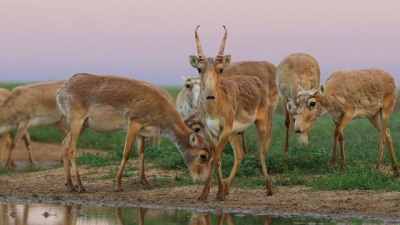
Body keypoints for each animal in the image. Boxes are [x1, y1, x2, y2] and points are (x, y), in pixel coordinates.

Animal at [57, 73, 212, 192]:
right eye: (203, 156)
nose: (203, 180)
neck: (161, 109)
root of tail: (62, 89)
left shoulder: (142, 132)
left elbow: (141, 153)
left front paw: (145, 182)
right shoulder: (134, 123)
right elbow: (127, 152)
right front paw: (118, 185)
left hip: (83, 125)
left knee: (64, 144)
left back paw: (70, 185)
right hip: (77, 122)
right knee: (71, 148)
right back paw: (80, 186)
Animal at [190, 25, 272, 200]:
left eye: (221, 69)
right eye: (199, 69)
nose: (210, 95)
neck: (214, 108)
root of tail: (257, 80)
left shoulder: (225, 129)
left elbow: (214, 159)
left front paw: (204, 194)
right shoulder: (211, 131)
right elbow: (218, 159)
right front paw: (218, 192)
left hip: (260, 124)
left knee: (261, 151)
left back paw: (269, 189)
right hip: (234, 133)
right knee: (239, 155)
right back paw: (226, 190)